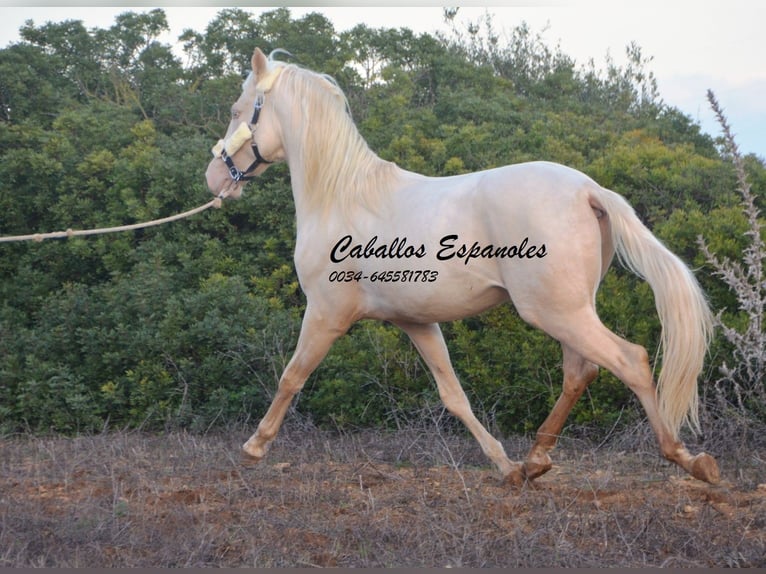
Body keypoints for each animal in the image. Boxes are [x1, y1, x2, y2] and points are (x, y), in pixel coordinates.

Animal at [204, 47, 720, 486]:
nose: (213, 178)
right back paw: (535, 460)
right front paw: (504, 466)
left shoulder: (326, 313)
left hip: (555, 312)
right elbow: (454, 396)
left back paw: (688, 459)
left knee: (629, 360)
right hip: (570, 310)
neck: (342, 197)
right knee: (581, 372)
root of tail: (589, 190)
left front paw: (254, 447)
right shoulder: (417, 322)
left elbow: (292, 376)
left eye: (236, 109)